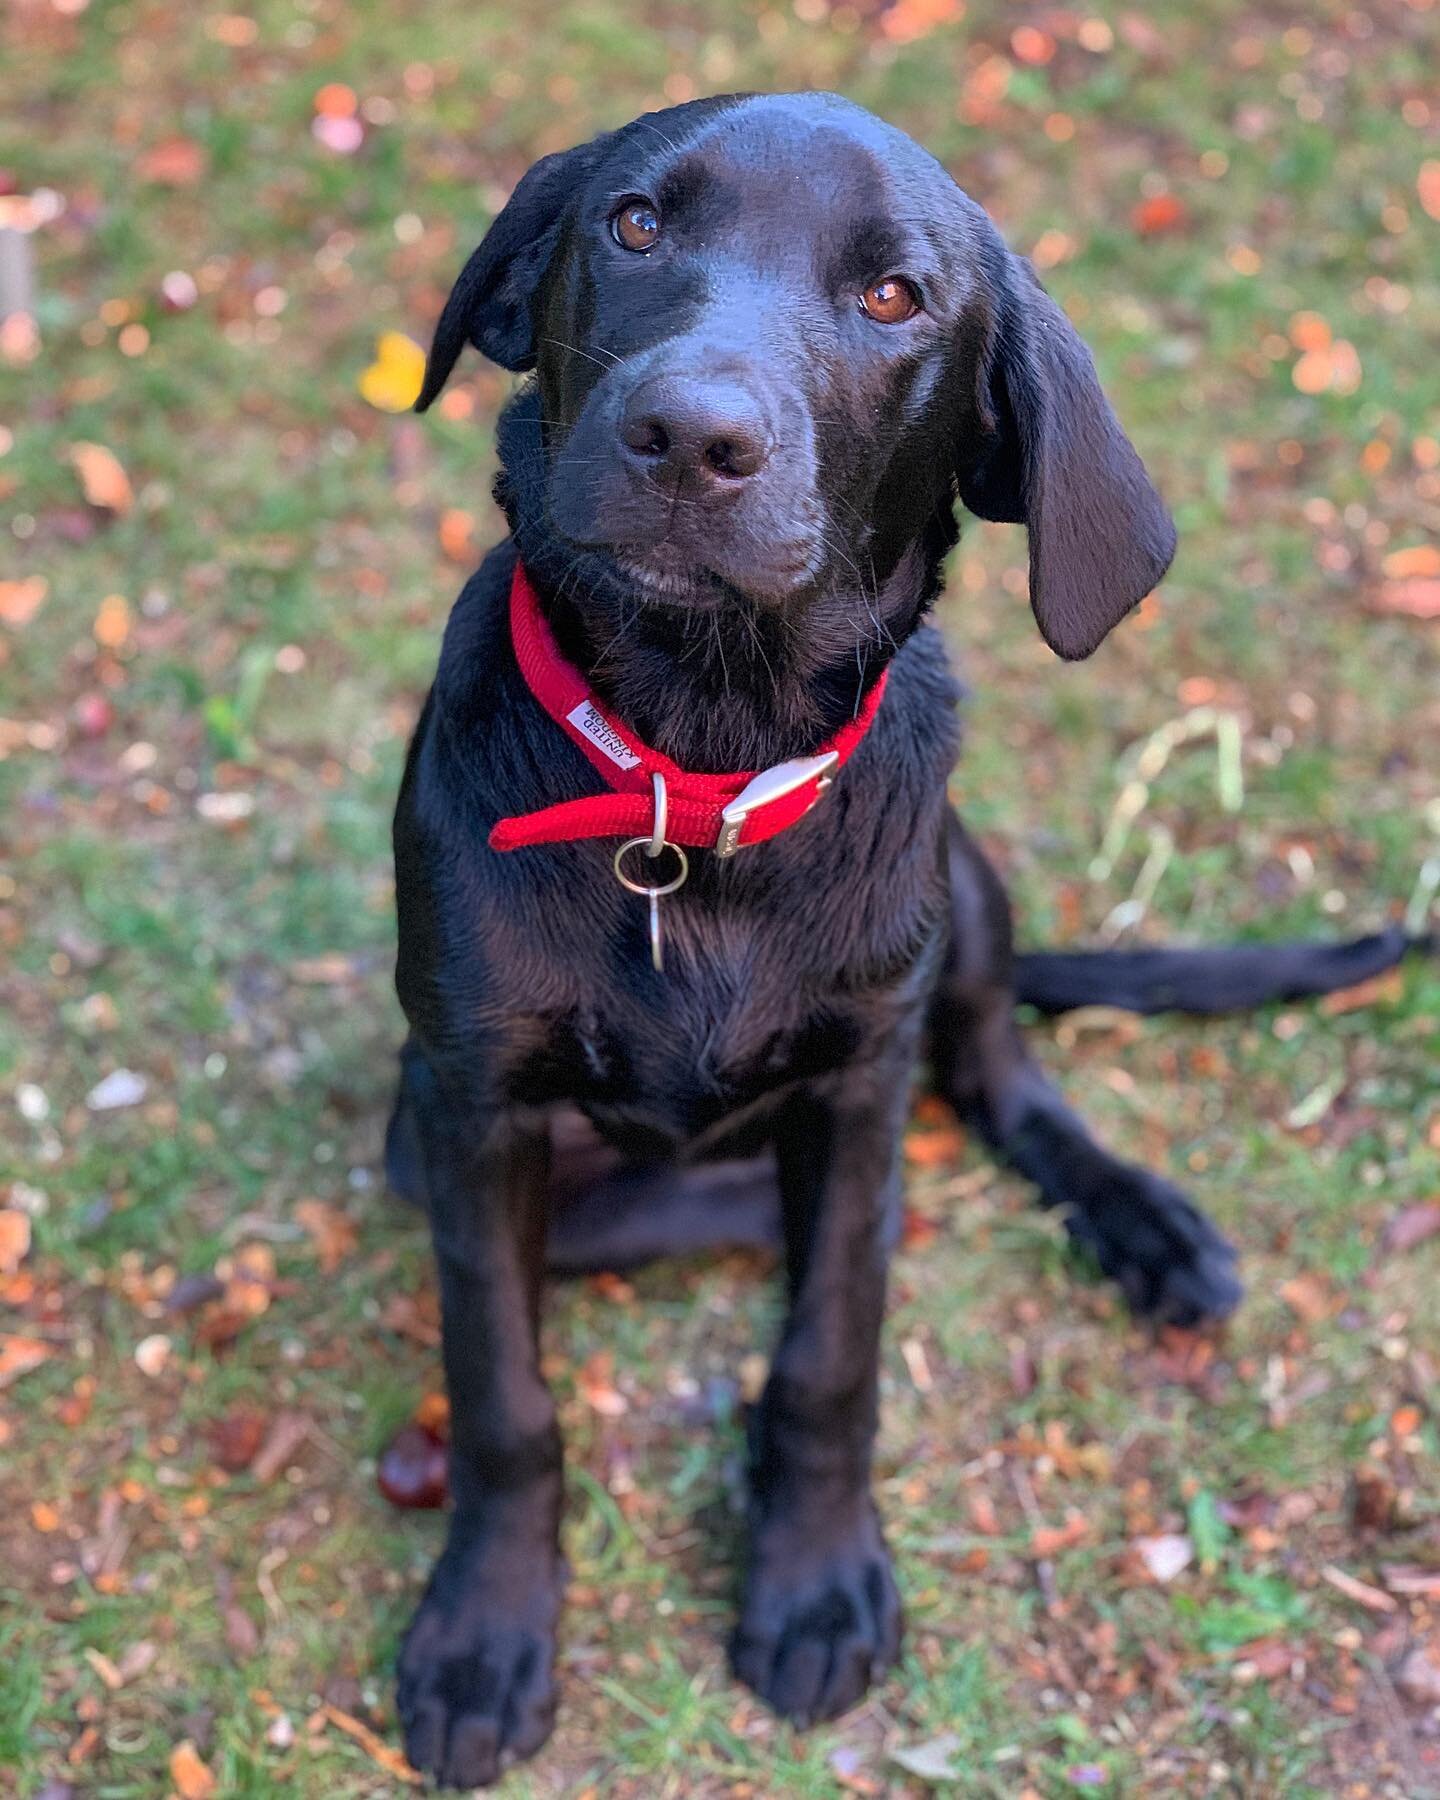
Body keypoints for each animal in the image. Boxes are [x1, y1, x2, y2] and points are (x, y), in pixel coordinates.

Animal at [385, 91, 1418, 1778]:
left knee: (992, 1073)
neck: (694, 776)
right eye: (634, 224)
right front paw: (485, 1633)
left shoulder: (861, 1076)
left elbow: (831, 1354)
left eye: (892, 298)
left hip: (959, 883)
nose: (689, 439)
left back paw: (1132, 1218)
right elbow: (504, 1397)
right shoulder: (469, 1109)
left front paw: (810, 1581)